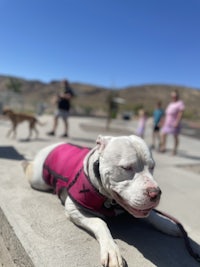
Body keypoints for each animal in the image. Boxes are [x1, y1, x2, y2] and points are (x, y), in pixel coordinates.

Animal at [22, 136, 180, 267]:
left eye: (152, 166)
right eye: (126, 167)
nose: (156, 193)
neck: (109, 199)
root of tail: (56, 144)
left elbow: (151, 213)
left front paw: (167, 223)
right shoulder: (74, 208)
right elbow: (100, 223)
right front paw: (111, 250)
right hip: (37, 180)